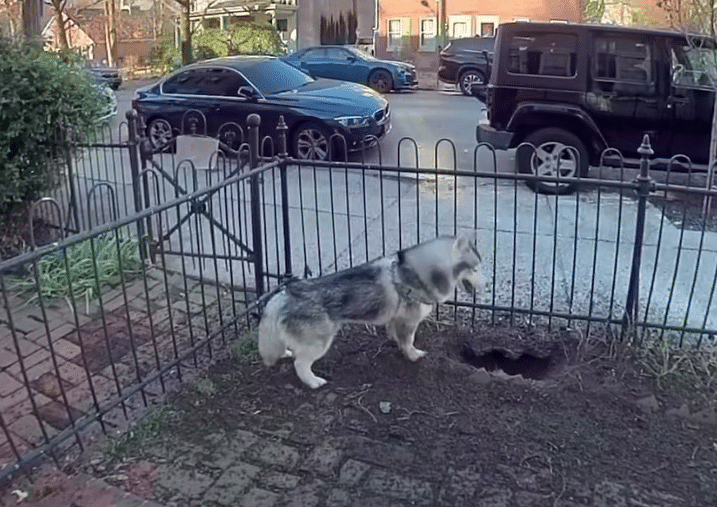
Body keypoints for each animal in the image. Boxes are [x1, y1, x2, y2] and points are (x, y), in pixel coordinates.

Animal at [256, 235, 482, 388]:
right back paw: (313, 381)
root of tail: (284, 294)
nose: (485, 286)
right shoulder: (409, 321)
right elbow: (408, 341)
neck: (415, 273)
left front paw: (397, 344)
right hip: (318, 342)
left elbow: (395, 334)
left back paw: (287, 353)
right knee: (301, 363)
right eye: (475, 269)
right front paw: (412, 355)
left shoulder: (397, 318)